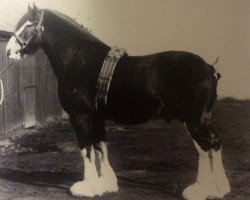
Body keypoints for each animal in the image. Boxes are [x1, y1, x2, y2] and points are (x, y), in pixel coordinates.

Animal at [5, 3, 230, 200]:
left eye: (28, 24)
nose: (8, 51)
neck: (79, 58)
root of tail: (209, 69)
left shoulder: (80, 116)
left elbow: (86, 149)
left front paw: (88, 187)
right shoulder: (96, 117)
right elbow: (100, 147)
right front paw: (106, 184)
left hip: (194, 120)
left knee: (206, 147)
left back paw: (204, 189)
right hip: (199, 119)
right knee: (213, 144)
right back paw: (219, 188)